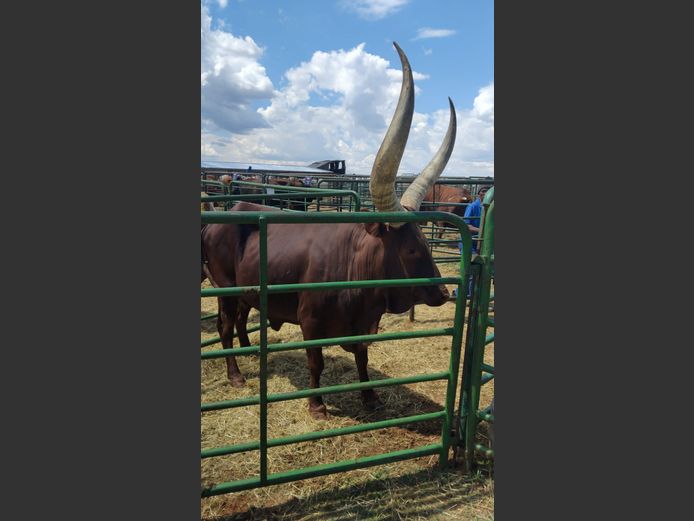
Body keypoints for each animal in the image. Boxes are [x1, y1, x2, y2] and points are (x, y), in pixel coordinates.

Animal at [201, 42, 457, 419]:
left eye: (425, 242)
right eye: (410, 249)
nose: (444, 293)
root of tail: (224, 214)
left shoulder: (363, 324)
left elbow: (363, 358)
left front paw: (370, 398)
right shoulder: (311, 323)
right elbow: (316, 363)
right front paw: (317, 406)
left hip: (247, 289)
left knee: (242, 320)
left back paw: (252, 356)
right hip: (224, 289)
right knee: (225, 325)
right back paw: (235, 375)